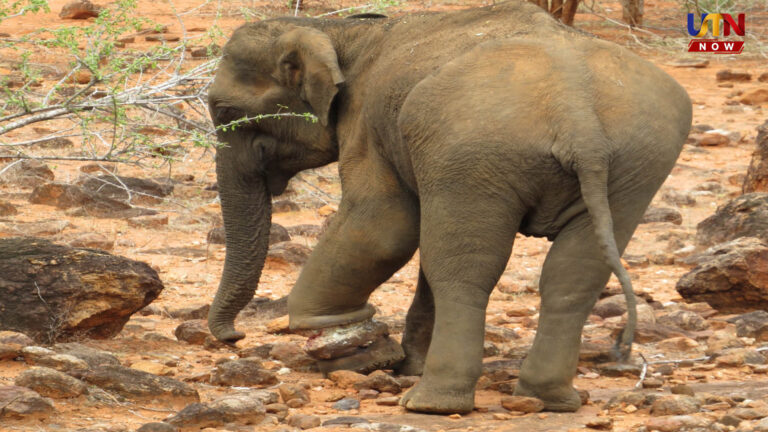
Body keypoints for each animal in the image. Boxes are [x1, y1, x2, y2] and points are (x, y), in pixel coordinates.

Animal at [206, 0, 692, 414]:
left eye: (225, 111)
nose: (234, 335)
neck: (344, 33)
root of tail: (576, 112)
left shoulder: (367, 121)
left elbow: (385, 227)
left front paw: (358, 357)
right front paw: (396, 361)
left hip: (475, 149)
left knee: (463, 271)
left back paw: (431, 402)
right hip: (635, 162)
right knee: (572, 275)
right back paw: (549, 399)